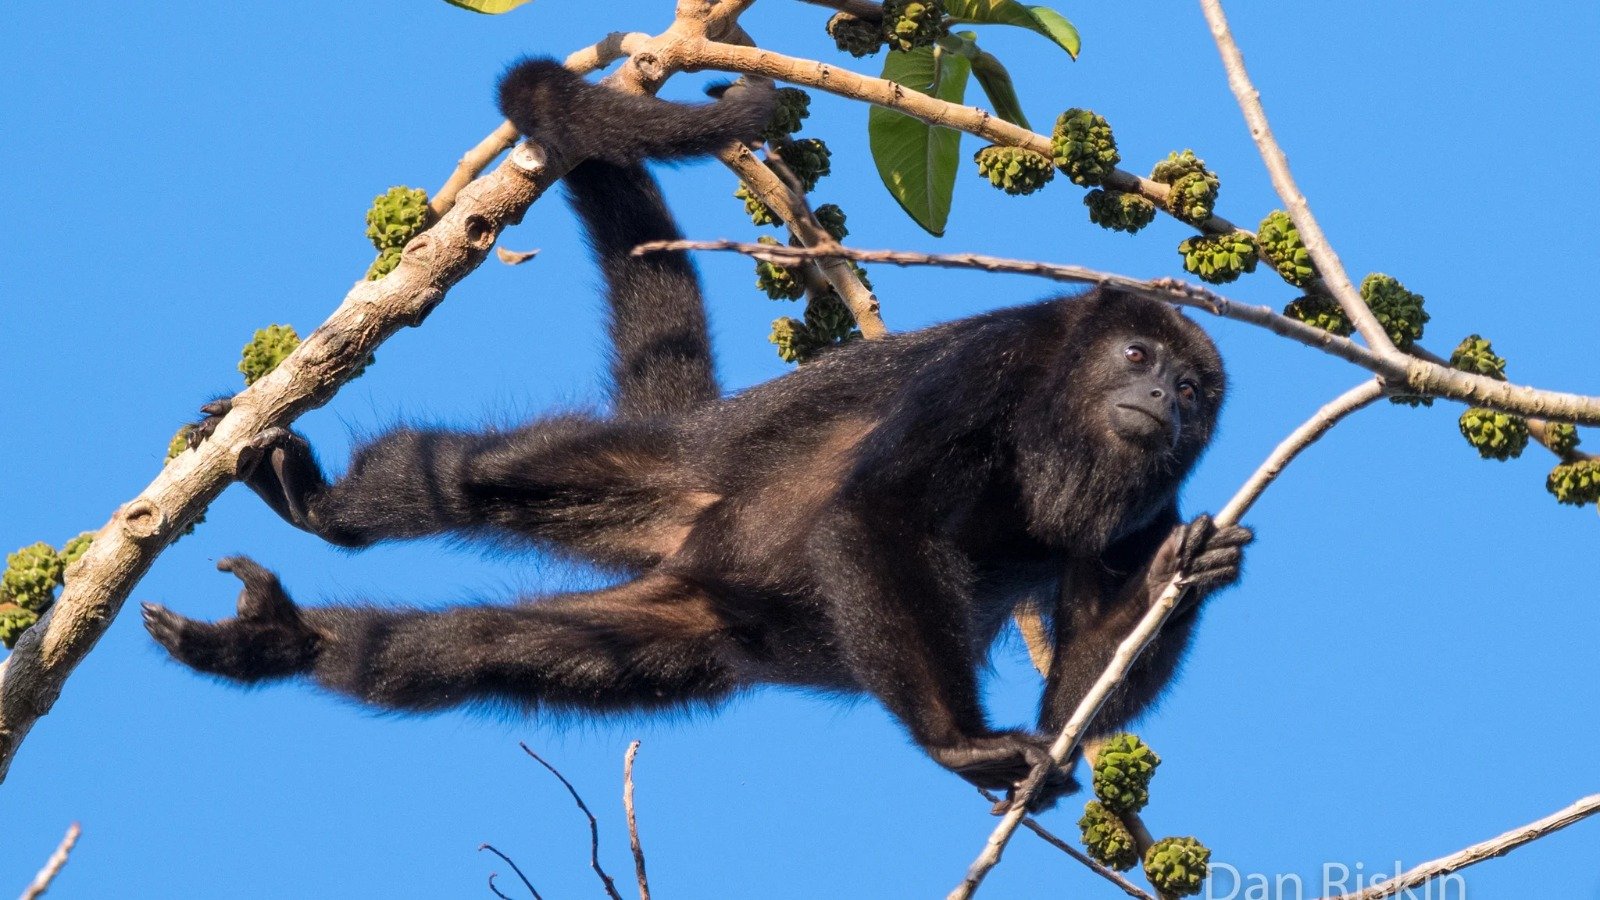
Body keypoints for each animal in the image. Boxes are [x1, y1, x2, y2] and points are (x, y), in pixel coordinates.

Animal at [144, 58, 1251, 810]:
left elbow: (1078, 692)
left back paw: (291, 642)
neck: (1059, 411)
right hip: (667, 478)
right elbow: (875, 509)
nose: (1166, 401)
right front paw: (957, 744)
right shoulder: (994, 368)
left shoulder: (1154, 498)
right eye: (1138, 357)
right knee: (474, 480)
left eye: (1197, 389)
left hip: (693, 619)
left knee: (497, 656)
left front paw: (1171, 583)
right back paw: (321, 509)